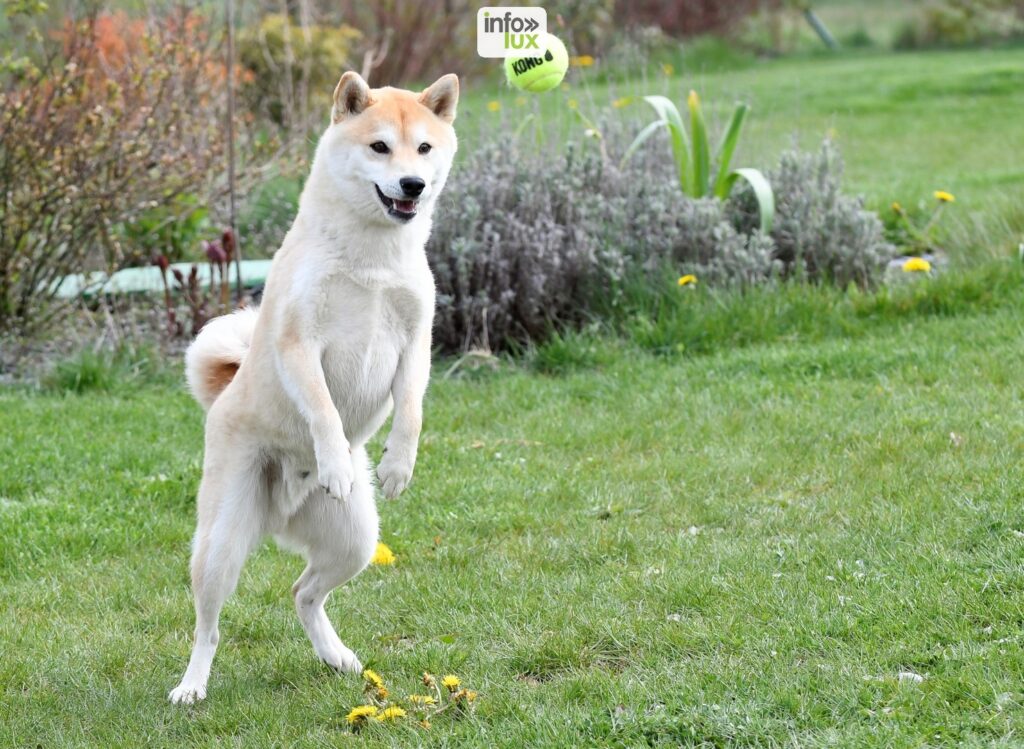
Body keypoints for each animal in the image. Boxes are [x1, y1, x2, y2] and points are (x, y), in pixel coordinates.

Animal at [169, 68, 458, 704]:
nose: (413, 183)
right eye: (380, 146)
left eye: (424, 147)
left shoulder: (416, 344)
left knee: (303, 593)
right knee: (208, 627)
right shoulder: (300, 345)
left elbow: (412, 411)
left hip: (356, 542)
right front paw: (334, 461)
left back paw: (336, 655)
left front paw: (398, 465)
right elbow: (324, 411)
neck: (372, 257)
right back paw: (192, 687)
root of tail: (283, 506)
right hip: (220, 545)